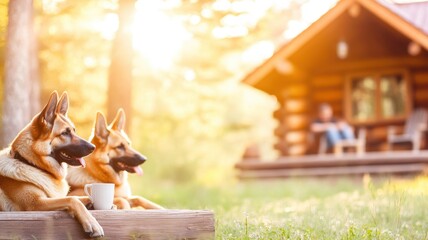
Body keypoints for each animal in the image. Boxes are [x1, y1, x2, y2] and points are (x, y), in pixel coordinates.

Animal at [0, 91, 103, 237]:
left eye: (74, 131)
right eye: (65, 133)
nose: (93, 147)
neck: (30, 163)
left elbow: (78, 197)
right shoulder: (35, 204)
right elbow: (72, 199)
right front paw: (92, 222)